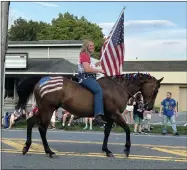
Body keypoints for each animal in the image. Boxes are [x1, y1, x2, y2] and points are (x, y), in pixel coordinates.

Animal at [15, 72, 163, 158]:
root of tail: (42, 80)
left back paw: (26, 147)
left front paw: (106, 150)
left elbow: (107, 132)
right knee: (42, 128)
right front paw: (127, 149)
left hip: (44, 110)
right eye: (156, 90)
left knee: (31, 122)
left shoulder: (110, 117)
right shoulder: (115, 115)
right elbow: (127, 129)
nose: (149, 107)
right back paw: (49, 151)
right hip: (48, 110)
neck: (118, 88)